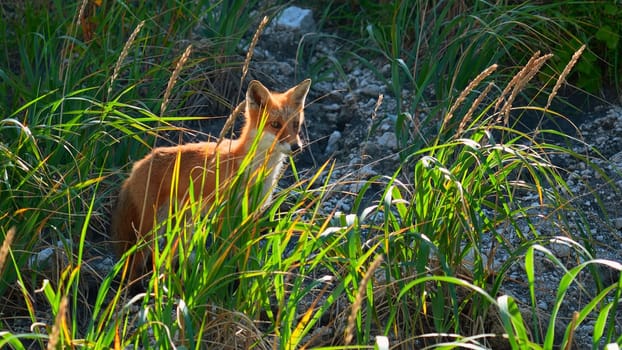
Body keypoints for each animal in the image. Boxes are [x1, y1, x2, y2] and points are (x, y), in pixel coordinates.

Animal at [110, 79, 312, 282]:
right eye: (276, 125)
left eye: (296, 125)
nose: (296, 147)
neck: (251, 169)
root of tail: (137, 165)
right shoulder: (225, 214)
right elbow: (226, 253)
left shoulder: (252, 214)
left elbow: (246, 253)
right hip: (151, 228)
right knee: (136, 261)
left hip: (182, 225)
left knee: (169, 256)